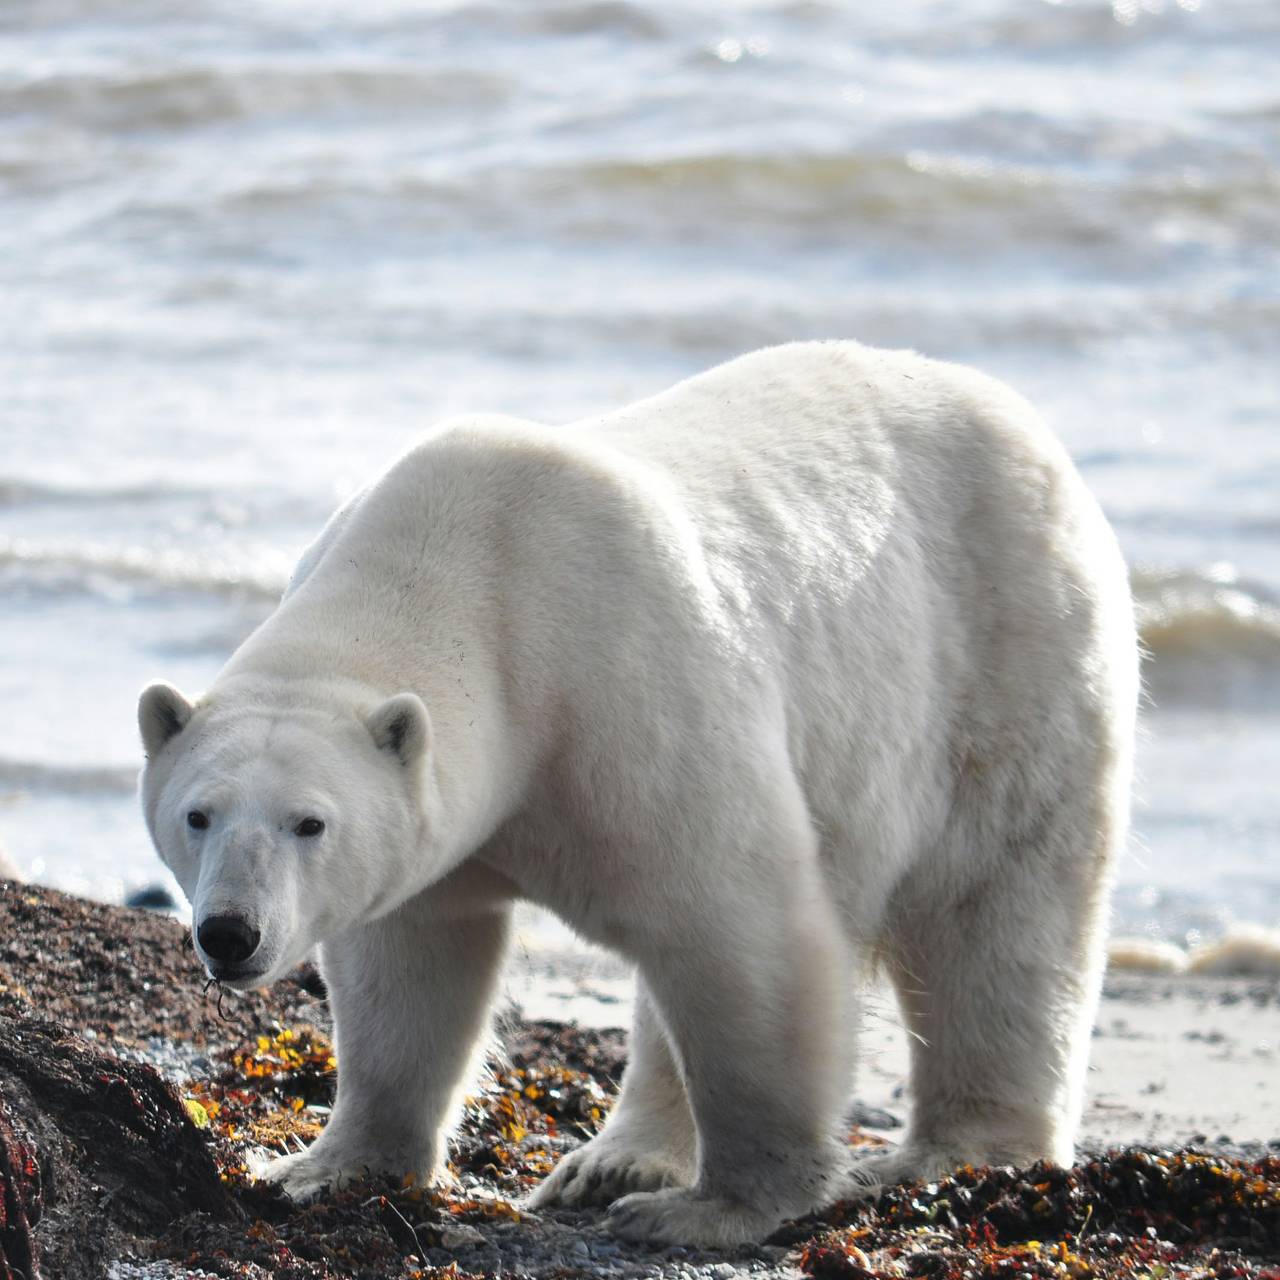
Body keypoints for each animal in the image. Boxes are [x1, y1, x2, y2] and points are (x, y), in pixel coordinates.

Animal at [137, 343, 1141, 1249]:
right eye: (197, 815)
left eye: (310, 823)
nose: (231, 933)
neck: (476, 577)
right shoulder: (448, 823)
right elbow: (413, 964)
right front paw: (323, 1169)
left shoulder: (627, 695)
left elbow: (739, 925)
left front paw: (717, 1211)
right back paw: (614, 1160)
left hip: (1009, 657)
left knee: (996, 913)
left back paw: (963, 1151)